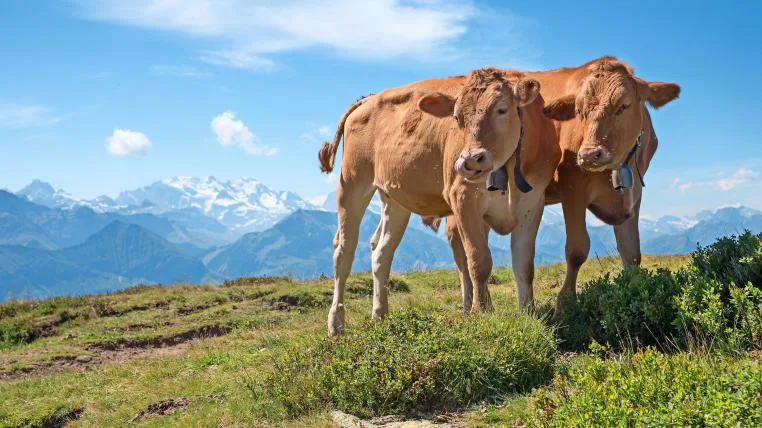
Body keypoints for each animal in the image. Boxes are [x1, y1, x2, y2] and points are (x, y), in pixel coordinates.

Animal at [318, 68, 560, 335]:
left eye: (502, 109)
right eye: (457, 118)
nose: (469, 160)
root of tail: (367, 99)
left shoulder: (532, 204)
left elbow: (524, 265)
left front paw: (528, 313)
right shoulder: (463, 199)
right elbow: (478, 261)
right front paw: (481, 312)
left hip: (394, 198)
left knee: (381, 251)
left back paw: (380, 314)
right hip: (352, 183)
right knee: (344, 249)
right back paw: (336, 323)